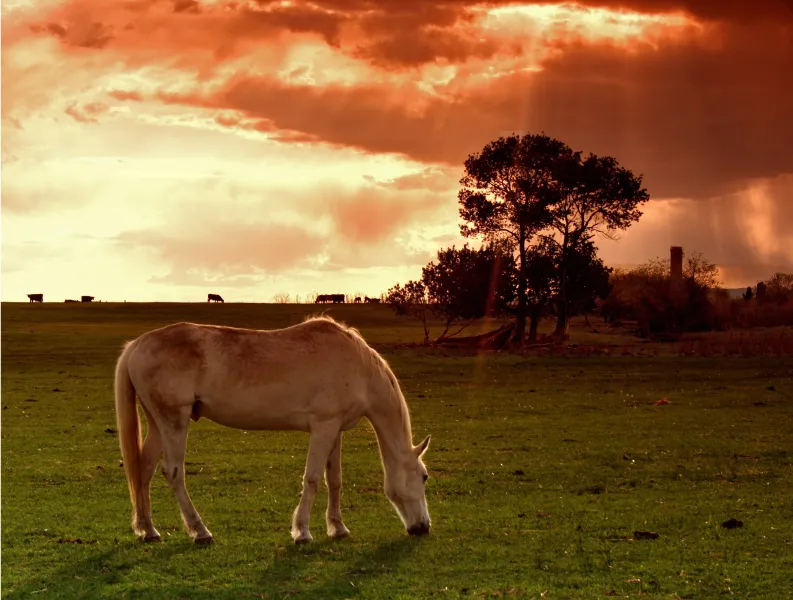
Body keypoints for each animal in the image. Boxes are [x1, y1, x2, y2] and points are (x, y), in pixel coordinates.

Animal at [114, 315, 431, 545]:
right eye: (425, 476)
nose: (423, 527)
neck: (357, 366)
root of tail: (136, 346)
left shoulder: (335, 430)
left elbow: (334, 480)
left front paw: (338, 528)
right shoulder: (323, 426)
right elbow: (313, 479)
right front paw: (302, 532)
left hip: (158, 424)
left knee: (143, 469)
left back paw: (148, 530)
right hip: (174, 422)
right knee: (173, 473)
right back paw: (200, 531)